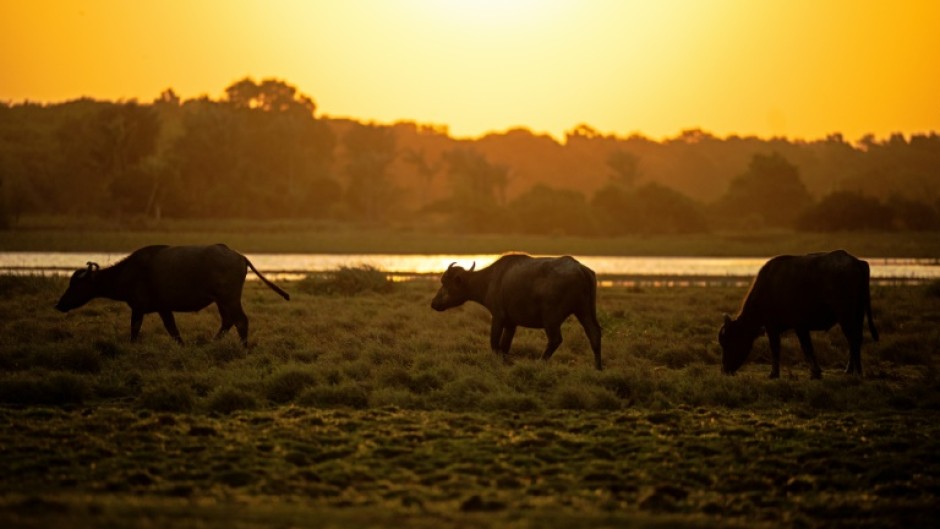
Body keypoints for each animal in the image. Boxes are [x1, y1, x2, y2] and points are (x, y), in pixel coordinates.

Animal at [55, 244, 289, 346]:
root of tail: (240, 256)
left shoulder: (140, 307)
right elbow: (173, 330)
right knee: (228, 321)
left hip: (228, 298)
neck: (128, 273)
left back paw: (243, 347)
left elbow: (136, 330)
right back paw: (212, 343)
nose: (60, 304)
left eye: (76, 285)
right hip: (221, 301)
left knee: (241, 320)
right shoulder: (163, 308)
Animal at [431, 254, 603, 370]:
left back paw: (540, 362)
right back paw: (598, 367)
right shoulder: (511, 323)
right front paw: (506, 362)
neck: (489, 281)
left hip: (551, 318)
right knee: (594, 333)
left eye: (445, 283)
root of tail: (580, 269)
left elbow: (495, 344)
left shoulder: (498, 317)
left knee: (555, 339)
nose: (434, 303)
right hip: (585, 311)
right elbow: (505, 346)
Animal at [718, 250, 878, 379]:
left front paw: (774, 373)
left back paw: (856, 371)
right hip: (857, 314)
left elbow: (782, 348)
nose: (725, 369)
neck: (768, 288)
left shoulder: (779, 327)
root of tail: (857, 262)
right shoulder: (799, 327)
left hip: (846, 315)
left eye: (729, 341)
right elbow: (806, 348)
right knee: (856, 340)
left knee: (853, 339)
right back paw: (851, 370)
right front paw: (815, 372)